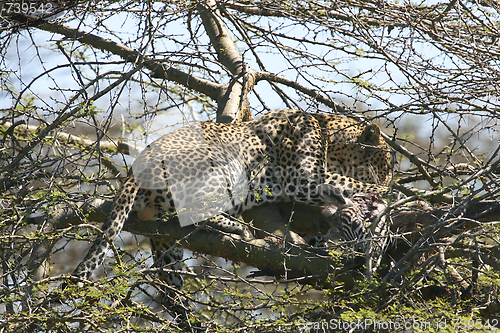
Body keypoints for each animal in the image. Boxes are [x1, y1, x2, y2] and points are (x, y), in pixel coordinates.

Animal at [70, 107, 392, 300]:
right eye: (386, 165)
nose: (391, 177)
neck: (328, 133)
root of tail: (134, 171)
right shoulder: (303, 176)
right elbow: (351, 183)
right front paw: (385, 192)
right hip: (224, 166)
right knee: (195, 210)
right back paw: (234, 227)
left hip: (167, 246)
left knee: (170, 272)